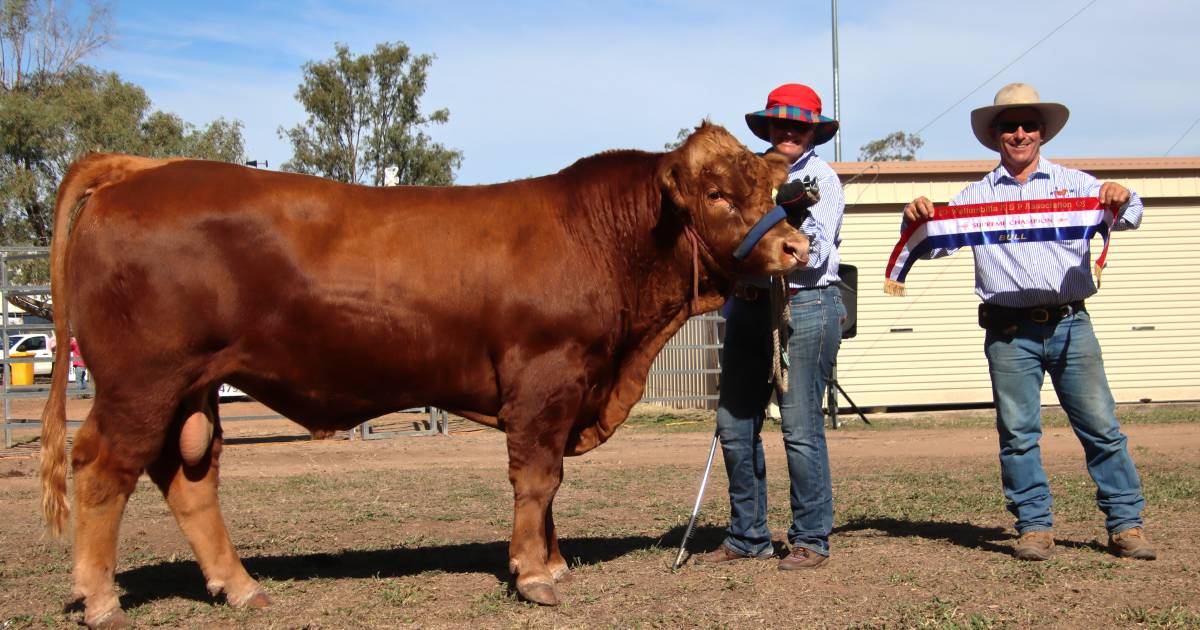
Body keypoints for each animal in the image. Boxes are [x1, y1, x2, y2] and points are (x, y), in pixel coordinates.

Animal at [42, 121, 806, 624]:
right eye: (716, 193)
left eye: (770, 188)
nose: (796, 247)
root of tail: (143, 170)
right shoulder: (546, 379)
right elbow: (537, 479)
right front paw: (534, 575)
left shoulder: (565, 392)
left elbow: (550, 483)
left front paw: (551, 559)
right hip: (142, 382)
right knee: (103, 469)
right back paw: (101, 599)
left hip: (189, 390)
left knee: (189, 479)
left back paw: (240, 586)